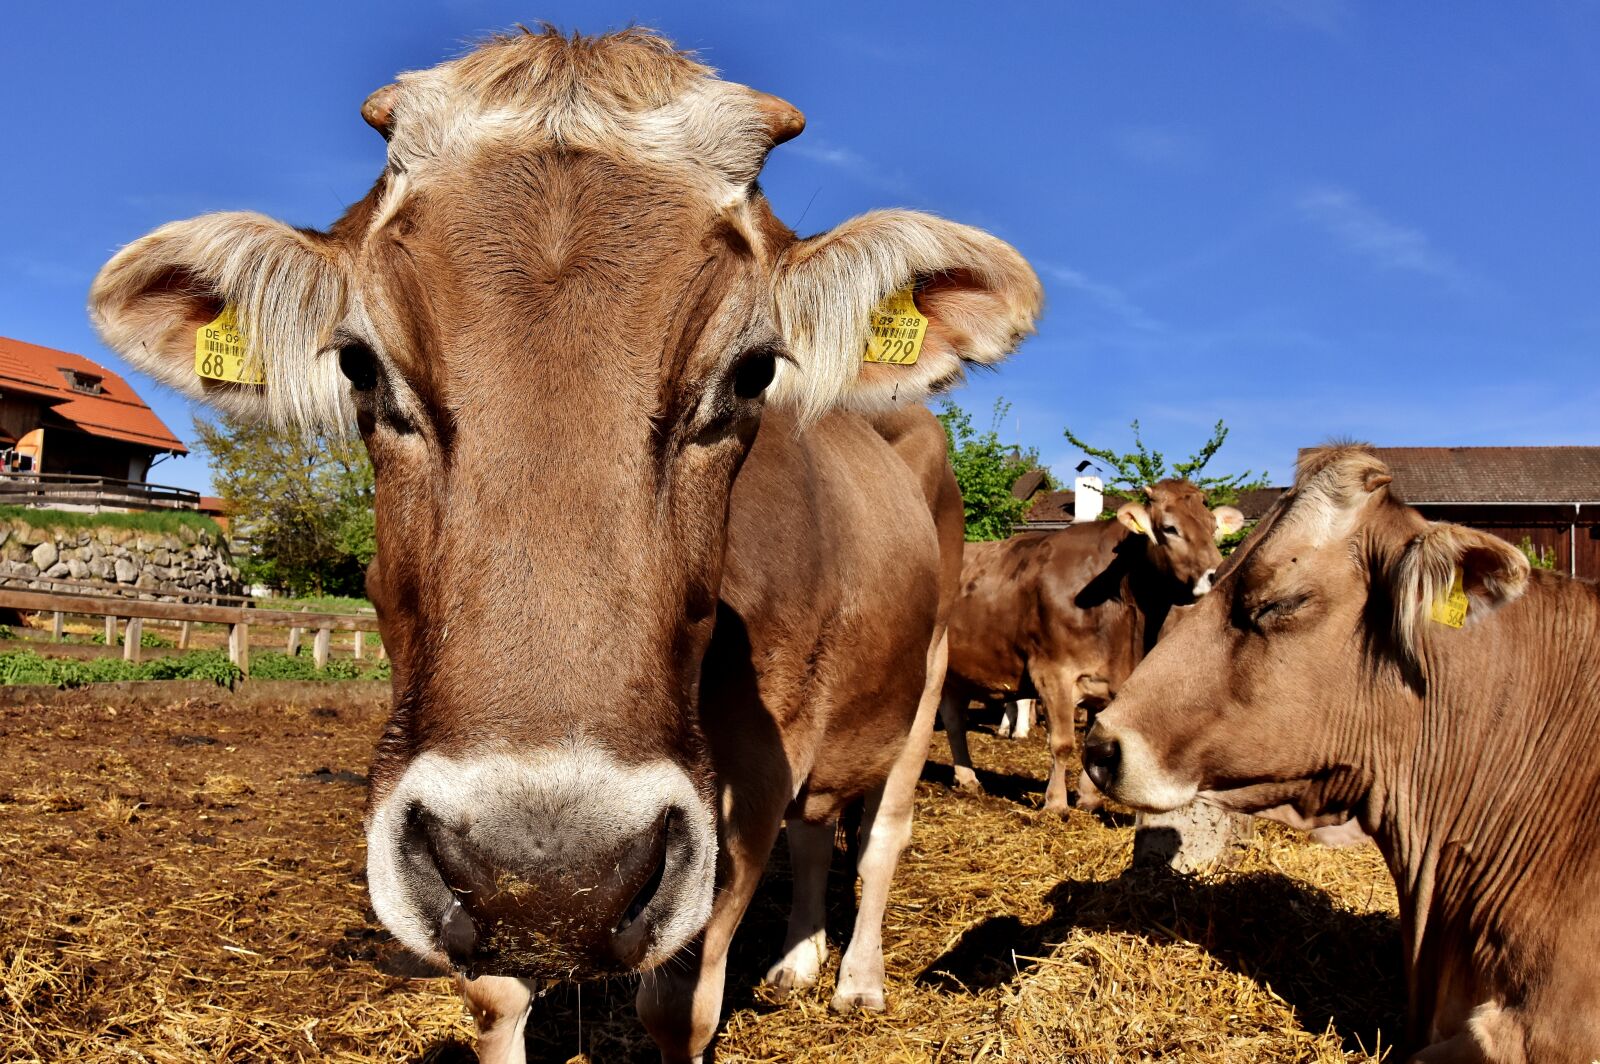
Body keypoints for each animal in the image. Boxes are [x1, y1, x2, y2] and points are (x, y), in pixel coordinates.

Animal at [87, 28, 1042, 1064]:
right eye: (359, 364)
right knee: (820, 829)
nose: (551, 871)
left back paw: (858, 981)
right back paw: (796, 962)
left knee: (883, 834)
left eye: (752, 373)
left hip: (928, 674)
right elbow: (496, 996)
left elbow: (681, 1004)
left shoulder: (749, 779)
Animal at [940, 480, 1242, 814]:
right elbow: (1062, 743)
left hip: (954, 674)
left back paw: (967, 778)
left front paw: (1088, 799)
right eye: (1170, 528)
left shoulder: (1106, 681)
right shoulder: (1053, 673)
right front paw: (1055, 804)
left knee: (954, 721)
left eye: (1213, 527)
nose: (1218, 574)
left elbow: (1091, 743)